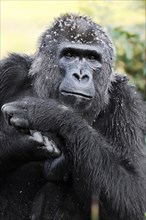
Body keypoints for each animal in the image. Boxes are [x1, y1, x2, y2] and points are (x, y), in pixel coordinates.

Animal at [0, 13, 146, 220]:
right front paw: (19, 144)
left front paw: (49, 113)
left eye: (92, 58)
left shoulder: (127, 102)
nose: (80, 75)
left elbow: (133, 194)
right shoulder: (8, 71)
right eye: (69, 55)